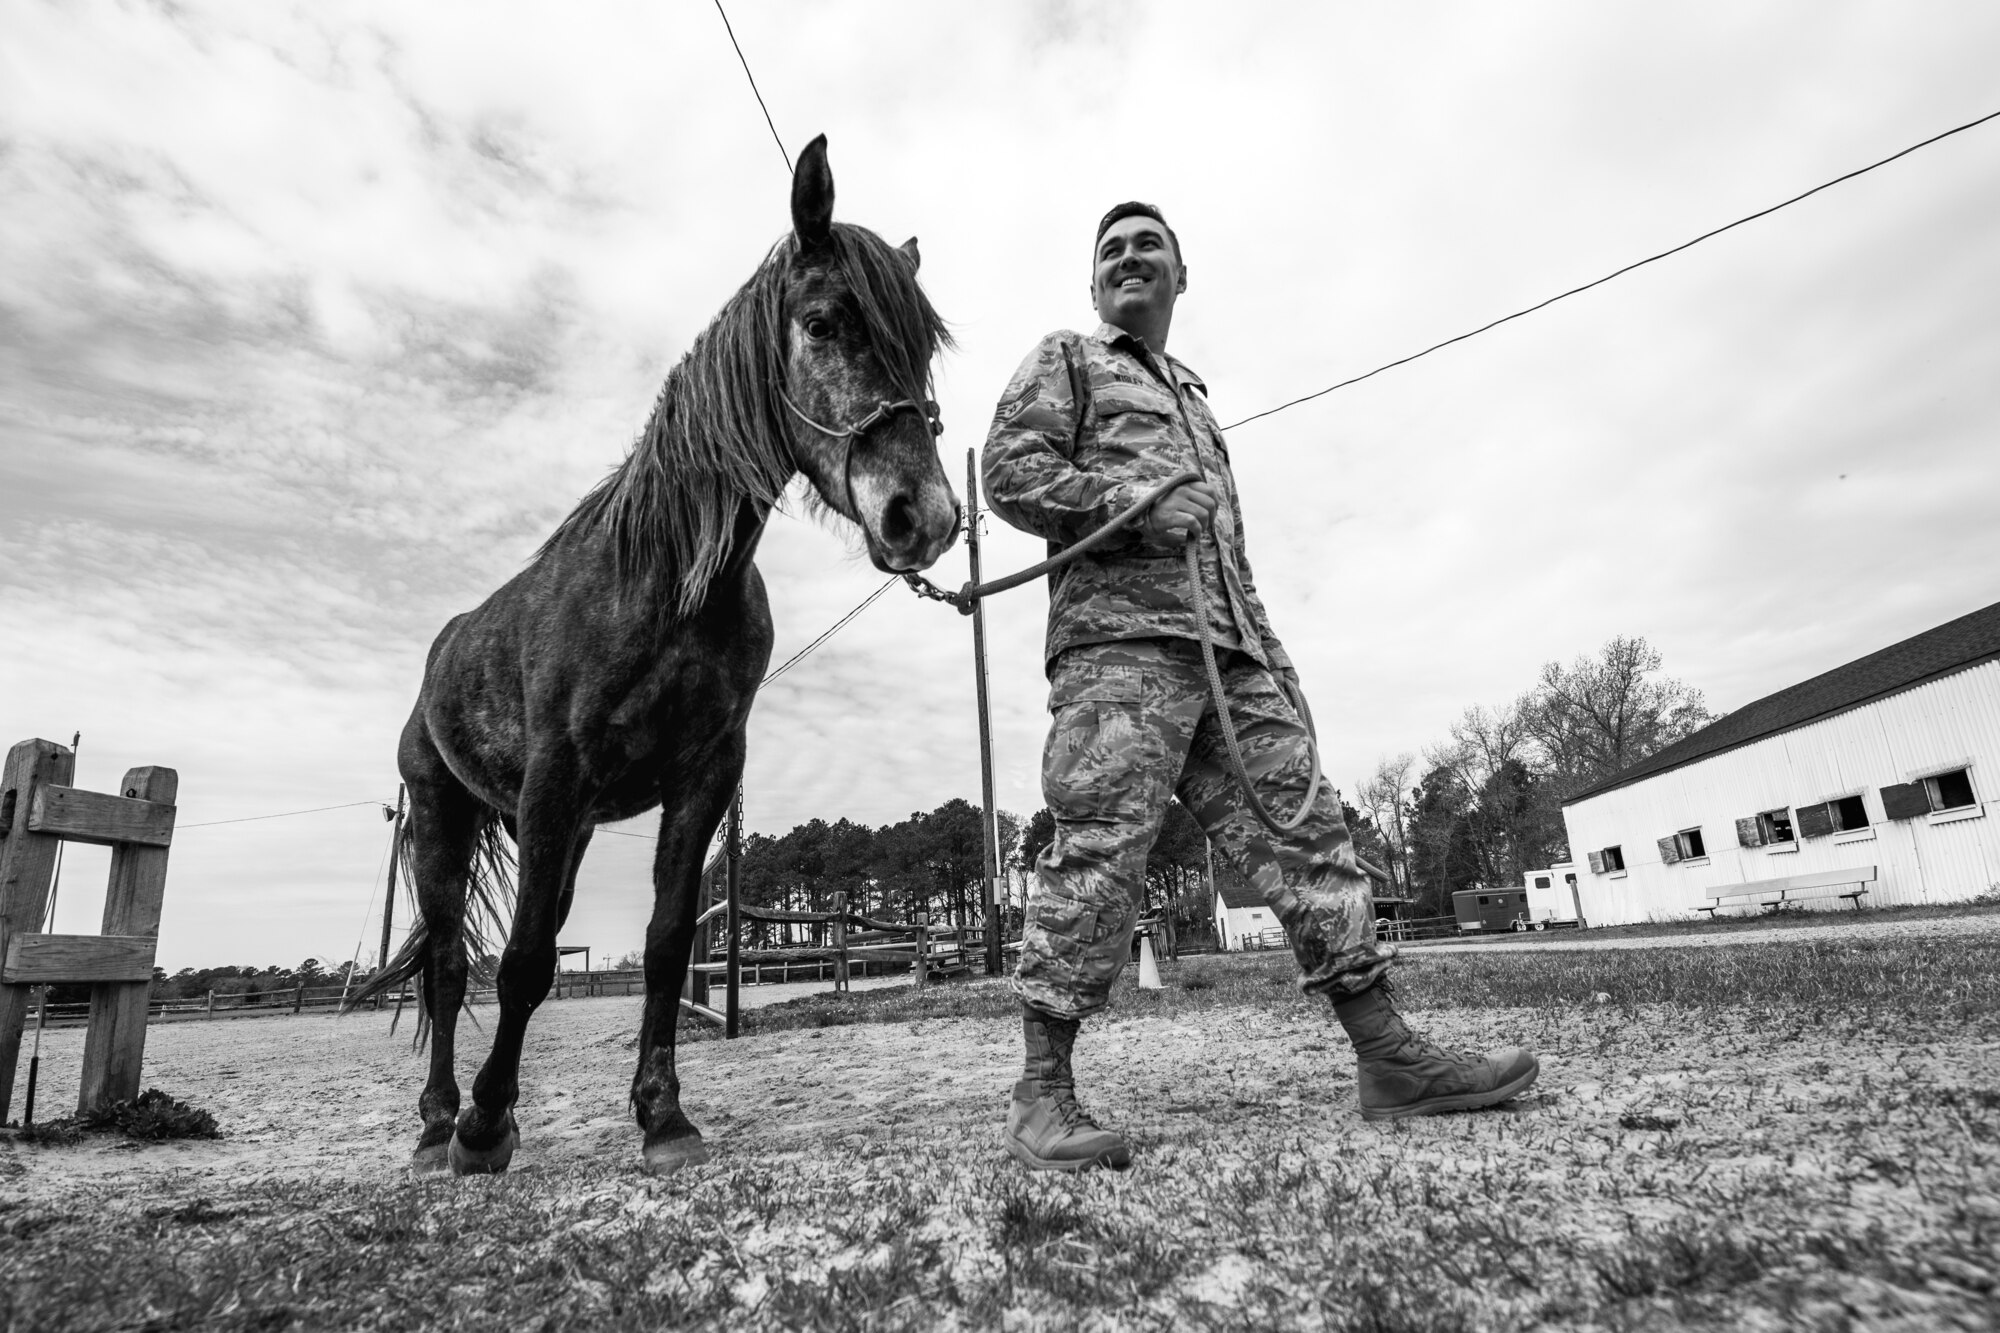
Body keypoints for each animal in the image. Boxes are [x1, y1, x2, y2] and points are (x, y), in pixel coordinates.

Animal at [348, 137, 956, 1176]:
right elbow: (522, 961)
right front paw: (483, 1126)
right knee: (447, 962)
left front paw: (662, 1114)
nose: (928, 516)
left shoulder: (702, 775)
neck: (668, 582)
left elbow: (668, 943)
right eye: (824, 322)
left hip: (570, 831)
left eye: (922, 348)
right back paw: (437, 1123)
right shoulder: (554, 778)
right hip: (442, 813)